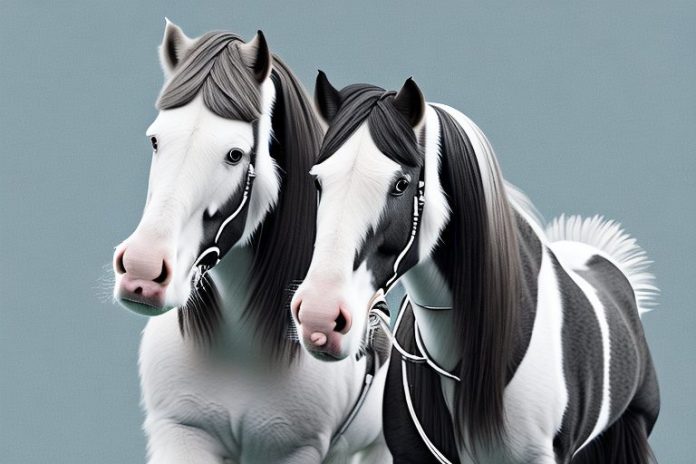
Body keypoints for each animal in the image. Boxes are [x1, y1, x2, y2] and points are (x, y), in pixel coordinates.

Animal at [111, 22, 391, 464]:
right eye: (156, 140)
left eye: (234, 154)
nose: (142, 271)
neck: (239, 348)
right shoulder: (181, 433)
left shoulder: (291, 450)